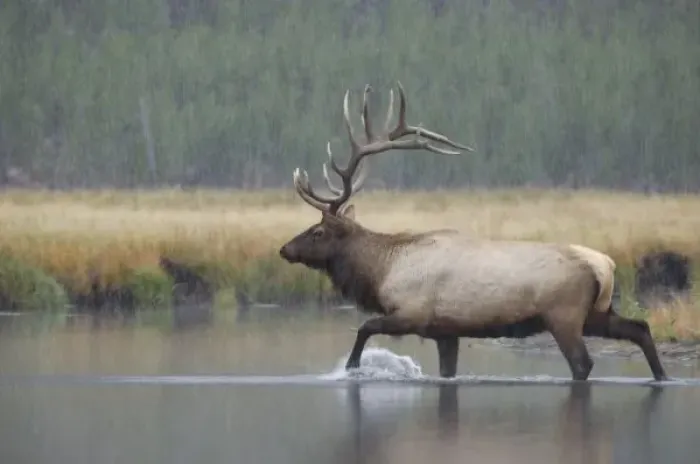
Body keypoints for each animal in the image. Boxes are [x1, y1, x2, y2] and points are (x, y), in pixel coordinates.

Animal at [278, 81, 669, 382]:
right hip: (596, 314)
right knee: (640, 328)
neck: (382, 270)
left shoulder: (412, 312)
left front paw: (351, 368)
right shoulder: (446, 332)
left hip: (564, 314)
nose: (284, 249)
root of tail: (605, 265)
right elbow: (446, 371)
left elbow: (364, 328)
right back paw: (662, 377)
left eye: (317, 231)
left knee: (583, 363)